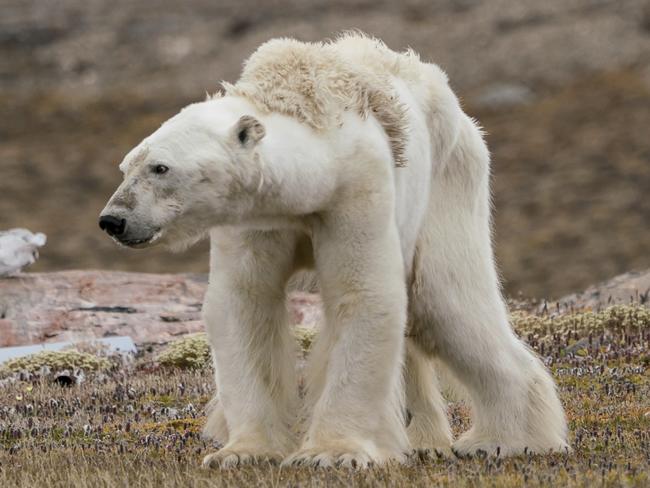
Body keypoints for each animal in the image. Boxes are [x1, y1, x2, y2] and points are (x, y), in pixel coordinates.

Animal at [98, 32, 564, 468]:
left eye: (160, 167)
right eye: (124, 167)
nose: (112, 220)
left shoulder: (357, 188)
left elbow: (362, 294)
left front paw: (331, 452)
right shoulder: (256, 216)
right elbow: (244, 301)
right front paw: (242, 451)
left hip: (449, 181)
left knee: (445, 301)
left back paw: (505, 439)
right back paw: (423, 439)